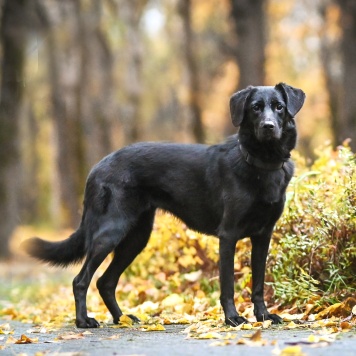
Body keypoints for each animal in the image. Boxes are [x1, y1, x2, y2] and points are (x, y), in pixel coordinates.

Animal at [23, 82, 304, 328]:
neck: (260, 164)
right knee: (81, 280)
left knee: (105, 282)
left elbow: (258, 283)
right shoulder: (228, 235)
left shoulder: (263, 236)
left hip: (136, 238)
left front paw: (264, 316)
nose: (268, 126)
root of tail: (97, 167)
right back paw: (84, 321)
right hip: (109, 233)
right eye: (255, 108)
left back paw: (122, 319)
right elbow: (227, 286)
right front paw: (233, 318)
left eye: (279, 107)